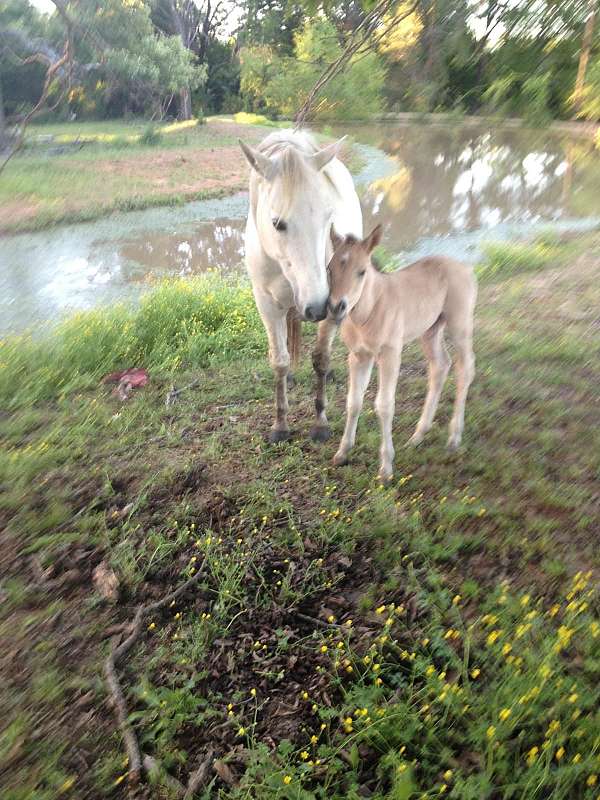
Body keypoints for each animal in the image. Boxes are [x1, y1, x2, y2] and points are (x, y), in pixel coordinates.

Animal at [239, 132, 360, 444]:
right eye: (277, 222)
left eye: (328, 217)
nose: (317, 307)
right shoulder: (267, 305)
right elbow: (279, 361)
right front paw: (280, 425)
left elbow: (321, 359)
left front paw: (320, 423)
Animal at [326, 227, 476, 482]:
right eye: (329, 268)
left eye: (361, 271)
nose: (337, 307)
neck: (368, 312)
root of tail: (465, 267)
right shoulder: (358, 356)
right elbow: (353, 401)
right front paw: (342, 452)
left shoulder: (390, 355)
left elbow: (384, 405)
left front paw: (386, 468)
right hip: (430, 330)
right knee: (440, 366)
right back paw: (418, 435)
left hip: (460, 325)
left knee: (465, 368)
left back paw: (453, 438)